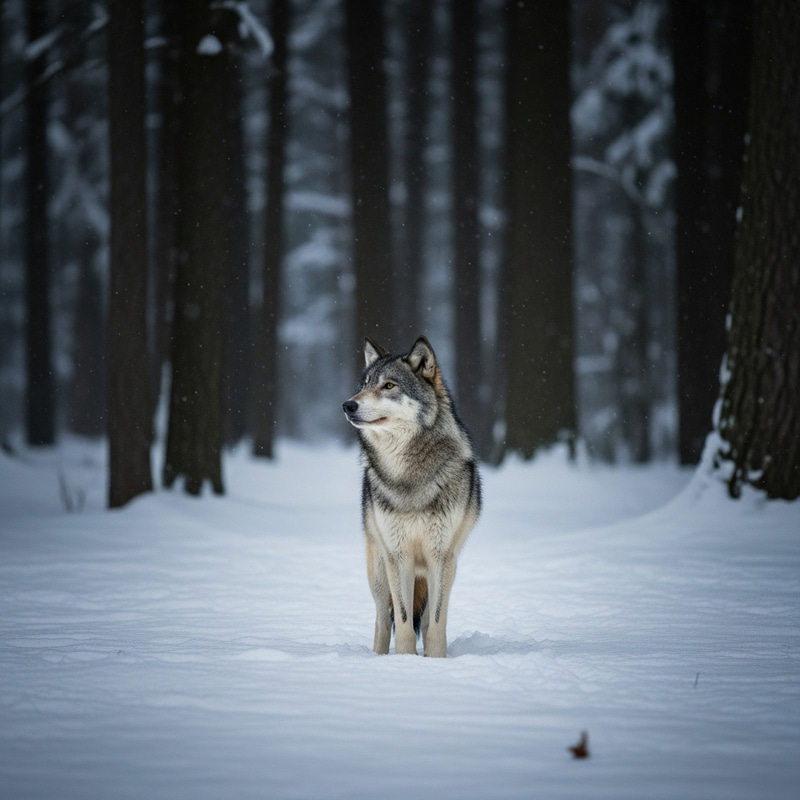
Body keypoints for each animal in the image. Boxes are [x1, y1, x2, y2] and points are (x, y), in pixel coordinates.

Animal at [342, 336, 481, 657]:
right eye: (365, 384)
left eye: (389, 386)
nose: (348, 404)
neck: (408, 476)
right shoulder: (398, 556)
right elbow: (404, 620)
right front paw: (406, 661)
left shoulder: (440, 556)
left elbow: (436, 623)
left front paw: (436, 660)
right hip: (379, 572)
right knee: (382, 619)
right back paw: (378, 657)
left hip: (442, 570)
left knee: (428, 619)